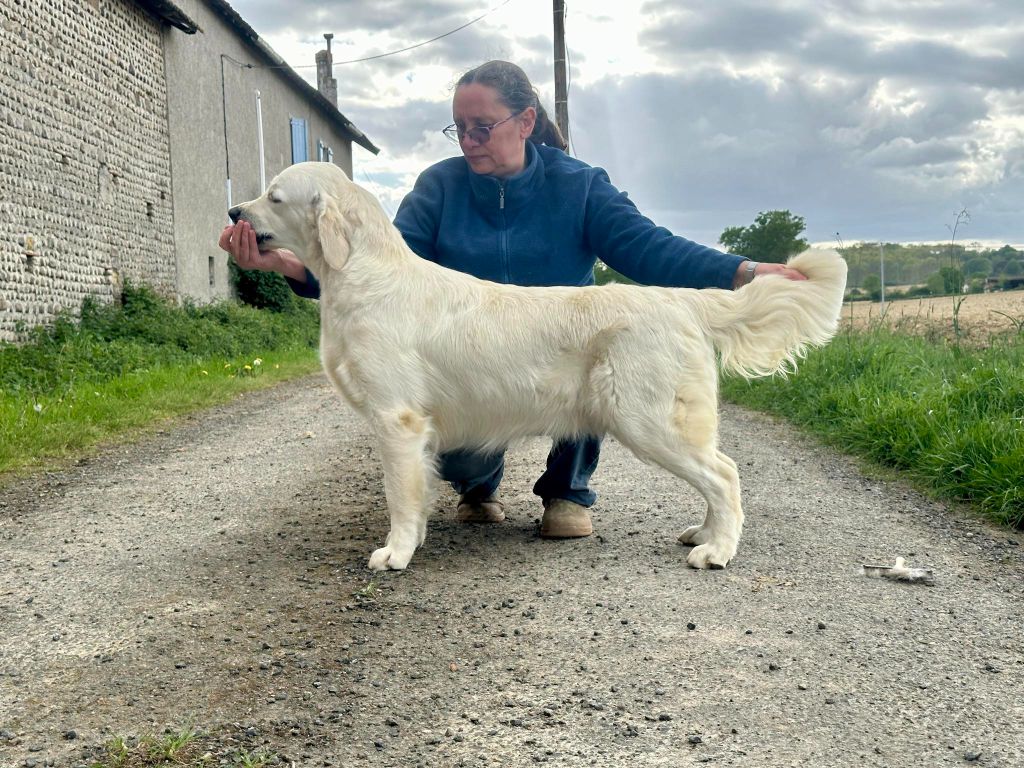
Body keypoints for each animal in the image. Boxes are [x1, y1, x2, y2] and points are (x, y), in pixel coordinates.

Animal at [232, 160, 847, 573]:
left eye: (275, 197)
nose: (234, 211)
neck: (362, 274)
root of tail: (680, 301)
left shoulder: (396, 421)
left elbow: (399, 496)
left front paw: (397, 552)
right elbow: (418, 492)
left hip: (649, 420)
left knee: (724, 475)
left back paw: (717, 551)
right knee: (718, 476)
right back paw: (703, 534)